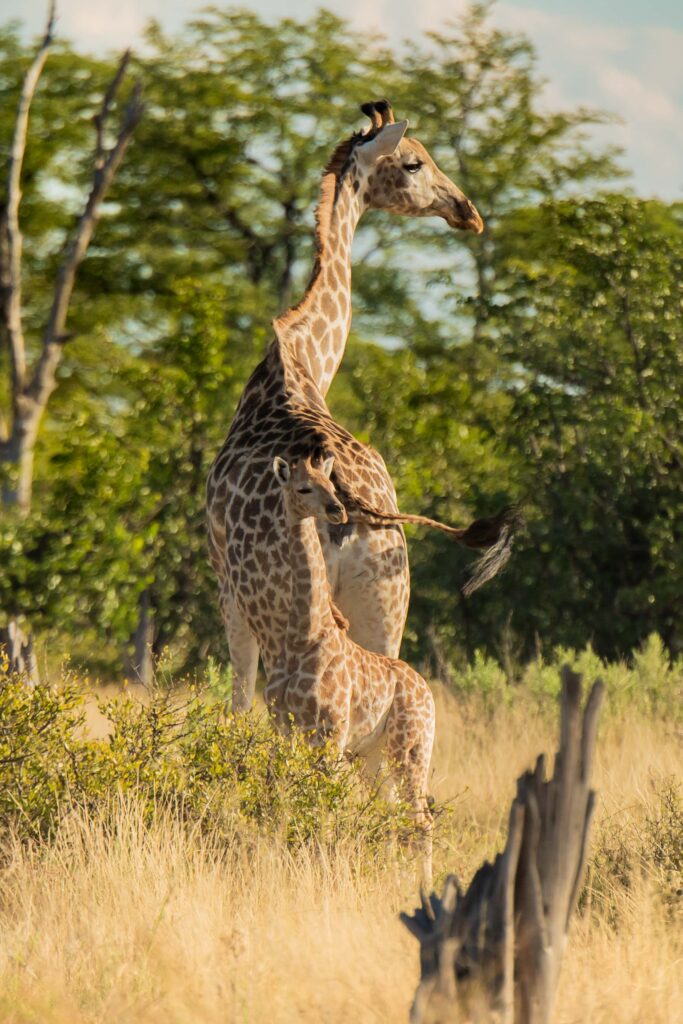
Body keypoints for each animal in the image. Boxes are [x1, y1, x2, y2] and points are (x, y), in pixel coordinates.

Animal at [207, 100, 511, 712]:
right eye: (415, 162)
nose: (467, 212)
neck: (302, 358)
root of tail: (350, 506)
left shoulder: (226, 590)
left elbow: (235, 707)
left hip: (290, 601)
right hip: (387, 599)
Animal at [265, 453, 436, 884]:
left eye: (331, 485)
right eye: (303, 487)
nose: (336, 511)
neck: (303, 634)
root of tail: (428, 692)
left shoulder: (330, 732)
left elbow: (325, 805)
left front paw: (325, 868)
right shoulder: (284, 728)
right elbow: (286, 798)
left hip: (410, 747)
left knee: (422, 818)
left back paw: (425, 886)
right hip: (373, 754)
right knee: (390, 813)